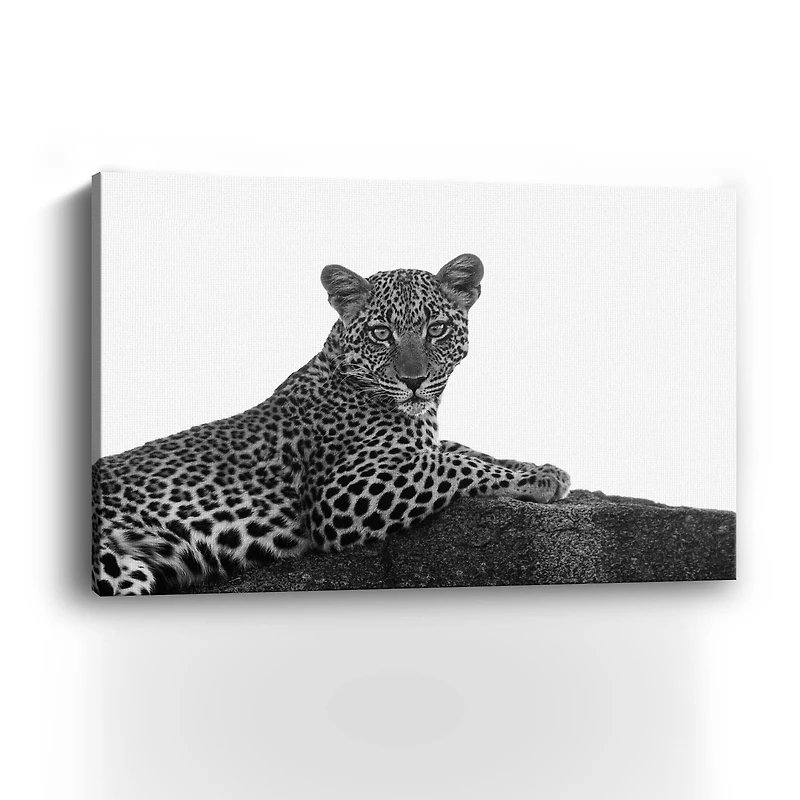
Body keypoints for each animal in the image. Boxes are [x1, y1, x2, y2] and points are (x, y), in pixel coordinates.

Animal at [92, 254, 570, 595]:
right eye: (381, 333)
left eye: (436, 329)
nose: (414, 381)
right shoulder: (340, 496)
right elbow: (451, 465)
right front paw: (536, 480)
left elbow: (463, 450)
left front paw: (543, 468)